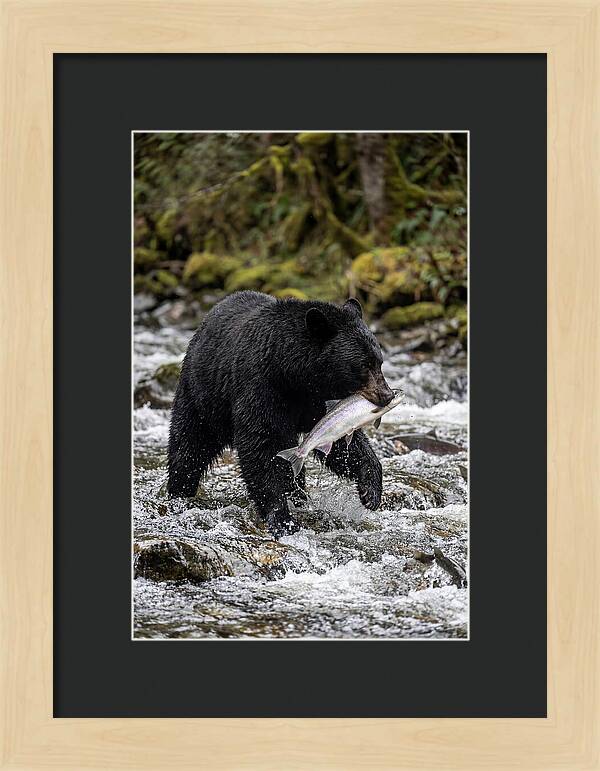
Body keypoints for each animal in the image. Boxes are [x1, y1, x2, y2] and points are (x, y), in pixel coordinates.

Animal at [167, 291, 394, 537]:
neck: (293, 374)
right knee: (188, 446)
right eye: (364, 365)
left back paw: (299, 496)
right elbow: (260, 445)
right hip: (202, 396)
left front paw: (370, 491)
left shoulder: (318, 402)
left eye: (379, 362)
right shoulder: (262, 386)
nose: (387, 395)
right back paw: (179, 493)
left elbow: (340, 440)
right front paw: (282, 518)